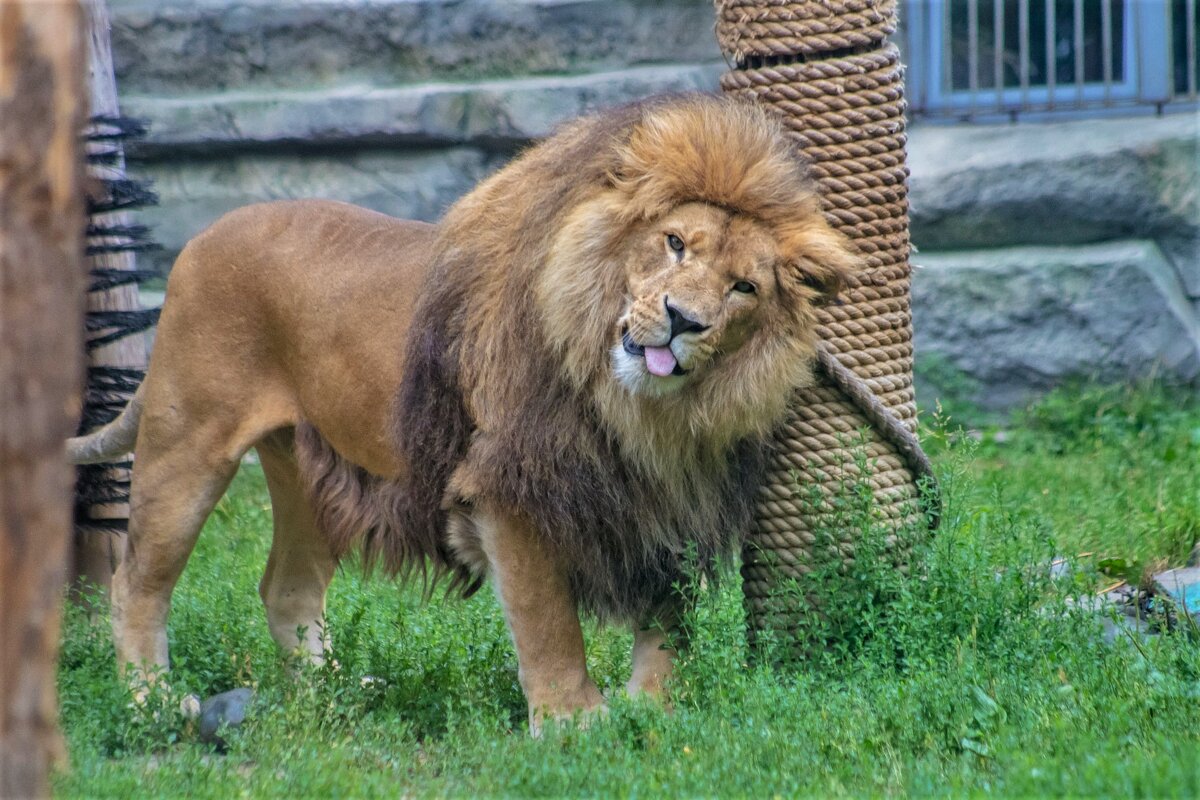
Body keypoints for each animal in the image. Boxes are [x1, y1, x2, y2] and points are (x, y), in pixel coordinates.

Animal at [70, 94, 859, 734]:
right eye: (673, 243)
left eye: (743, 287)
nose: (682, 320)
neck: (640, 414)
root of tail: (202, 236)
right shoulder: (508, 487)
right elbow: (547, 620)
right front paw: (574, 726)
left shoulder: (669, 500)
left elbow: (672, 621)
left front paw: (655, 712)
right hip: (187, 440)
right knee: (136, 583)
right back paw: (150, 703)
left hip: (309, 464)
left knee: (286, 587)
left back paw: (335, 696)